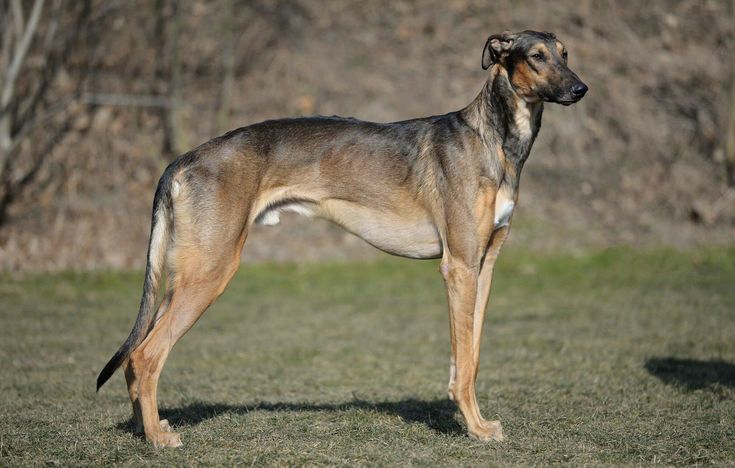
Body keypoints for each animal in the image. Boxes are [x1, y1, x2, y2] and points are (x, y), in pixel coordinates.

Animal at [98, 29, 588, 446]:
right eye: (536, 56)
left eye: (565, 53)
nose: (580, 89)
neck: (494, 139)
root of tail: (182, 160)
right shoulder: (460, 267)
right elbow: (465, 362)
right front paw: (477, 430)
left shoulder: (484, 266)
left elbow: (470, 356)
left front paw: (476, 422)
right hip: (209, 272)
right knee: (144, 356)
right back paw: (158, 439)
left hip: (184, 275)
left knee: (136, 358)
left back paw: (147, 429)